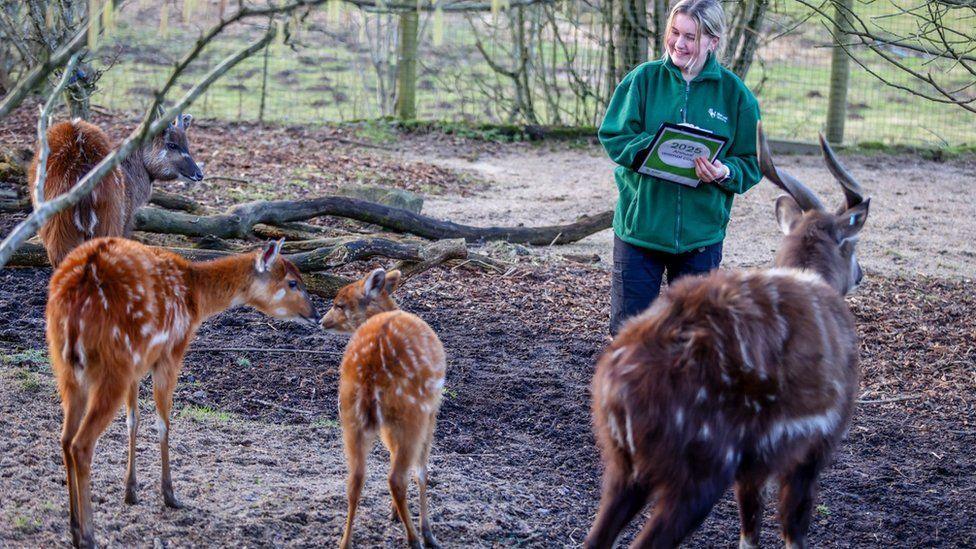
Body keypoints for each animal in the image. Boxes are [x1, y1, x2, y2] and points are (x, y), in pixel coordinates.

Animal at [47, 238, 314, 544]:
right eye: (293, 282)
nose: (316, 315)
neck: (195, 297)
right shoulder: (170, 352)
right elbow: (163, 423)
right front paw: (170, 495)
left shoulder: (138, 364)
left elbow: (133, 419)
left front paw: (131, 492)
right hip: (112, 366)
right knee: (81, 444)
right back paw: (89, 535)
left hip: (66, 367)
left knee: (65, 439)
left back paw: (73, 526)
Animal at [320, 268, 446, 548]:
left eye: (339, 304)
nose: (322, 321)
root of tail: (371, 367)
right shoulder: (432, 410)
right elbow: (422, 471)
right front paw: (426, 531)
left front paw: (394, 513)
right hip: (411, 411)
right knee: (396, 477)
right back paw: (416, 538)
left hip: (350, 413)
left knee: (355, 479)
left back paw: (344, 542)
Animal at [584, 123, 872, 548]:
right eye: (852, 245)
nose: (861, 274)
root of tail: (620, 379)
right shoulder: (815, 448)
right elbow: (793, 530)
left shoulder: (752, 468)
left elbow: (749, 530)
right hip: (697, 476)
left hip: (624, 469)